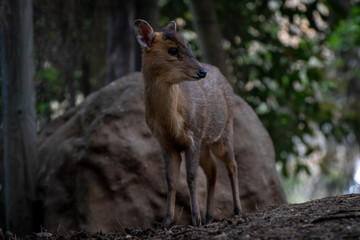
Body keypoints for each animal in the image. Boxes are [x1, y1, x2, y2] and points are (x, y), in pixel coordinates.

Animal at [133, 19, 242, 227]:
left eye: (189, 46)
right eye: (173, 50)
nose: (202, 71)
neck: (172, 121)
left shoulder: (194, 135)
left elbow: (191, 177)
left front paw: (195, 219)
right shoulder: (166, 143)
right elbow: (170, 181)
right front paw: (166, 221)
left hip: (224, 131)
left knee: (232, 165)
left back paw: (237, 210)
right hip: (205, 143)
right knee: (213, 169)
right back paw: (209, 216)